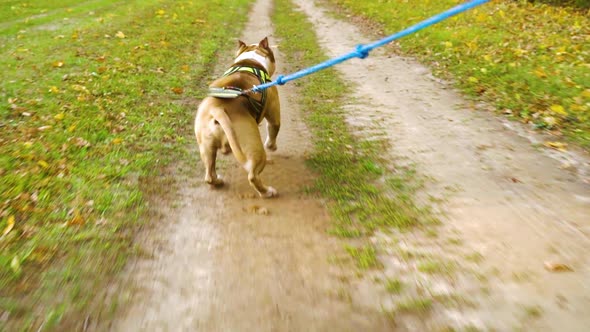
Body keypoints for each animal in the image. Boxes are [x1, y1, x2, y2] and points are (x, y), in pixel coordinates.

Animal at [194, 37, 282, 197]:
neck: (251, 61)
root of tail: (218, 109)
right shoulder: (274, 116)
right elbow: (273, 130)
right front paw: (271, 146)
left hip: (206, 147)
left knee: (209, 174)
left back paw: (218, 181)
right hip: (254, 148)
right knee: (253, 176)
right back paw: (267, 192)